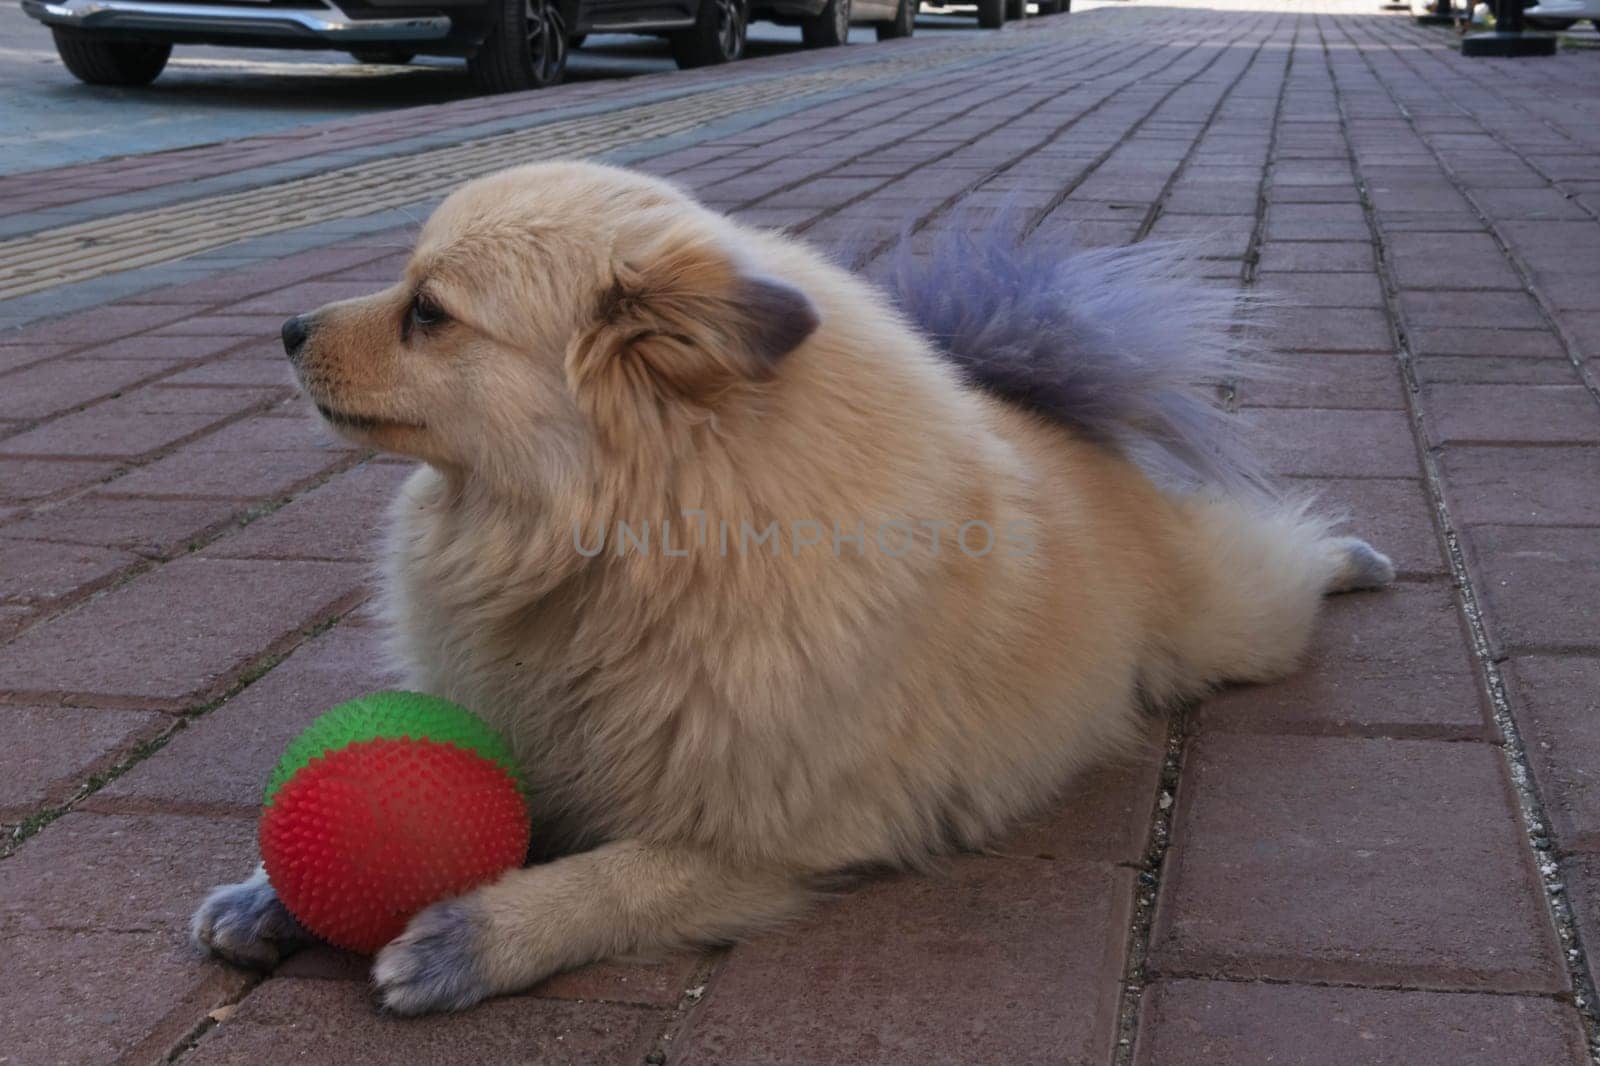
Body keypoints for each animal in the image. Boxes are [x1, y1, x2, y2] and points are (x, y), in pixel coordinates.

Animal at [187, 161, 1388, 1011]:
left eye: (427, 311)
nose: (286, 329)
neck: (628, 542)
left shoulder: (772, 838)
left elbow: (616, 880)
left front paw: (475, 936)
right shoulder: (530, 729)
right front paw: (269, 896)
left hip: (1229, 625)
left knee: (1284, 560)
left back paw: (1357, 558)